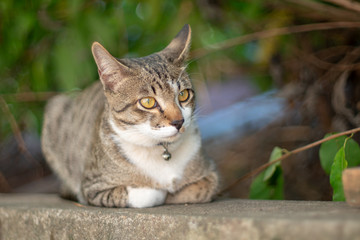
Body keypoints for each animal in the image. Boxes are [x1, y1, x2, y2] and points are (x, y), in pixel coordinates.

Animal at [40, 24, 218, 208]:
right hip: (55, 108)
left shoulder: (210, 173)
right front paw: (163, 190)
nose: (179, 121)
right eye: (148, 102)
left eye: (183, 95)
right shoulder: (92, 187)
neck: (161, 151)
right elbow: (149, 194)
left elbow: (201, 190)